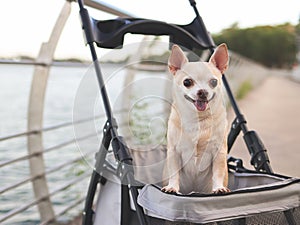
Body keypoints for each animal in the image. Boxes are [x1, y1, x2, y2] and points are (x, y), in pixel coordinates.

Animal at [162, 44, 230, 195]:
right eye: (187, 82)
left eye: (214, 82)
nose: (203, 92)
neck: (198, 119)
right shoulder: (174, 152)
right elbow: (174, 173)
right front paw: (172, 187)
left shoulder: (219, 153)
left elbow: (218, 173)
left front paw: (219, 188)